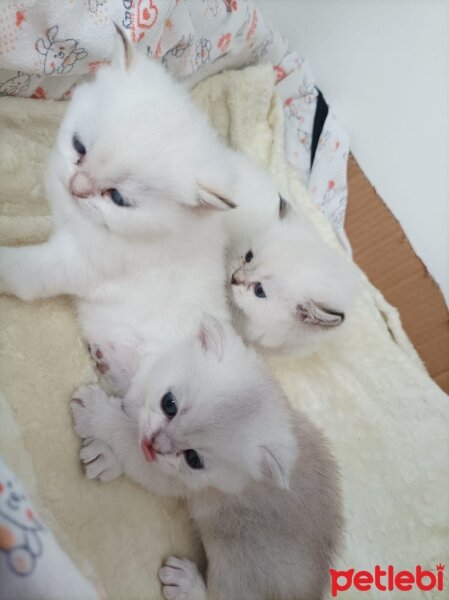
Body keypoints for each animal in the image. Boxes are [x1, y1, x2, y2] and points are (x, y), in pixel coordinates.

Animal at [72, 318, 342, 600]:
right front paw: (107, 453)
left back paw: (185, 584)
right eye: (169, 403)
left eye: (194, 459)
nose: (154, 446)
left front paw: (97, 414)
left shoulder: (180, 481)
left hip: (238, 560)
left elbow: (129, 441)